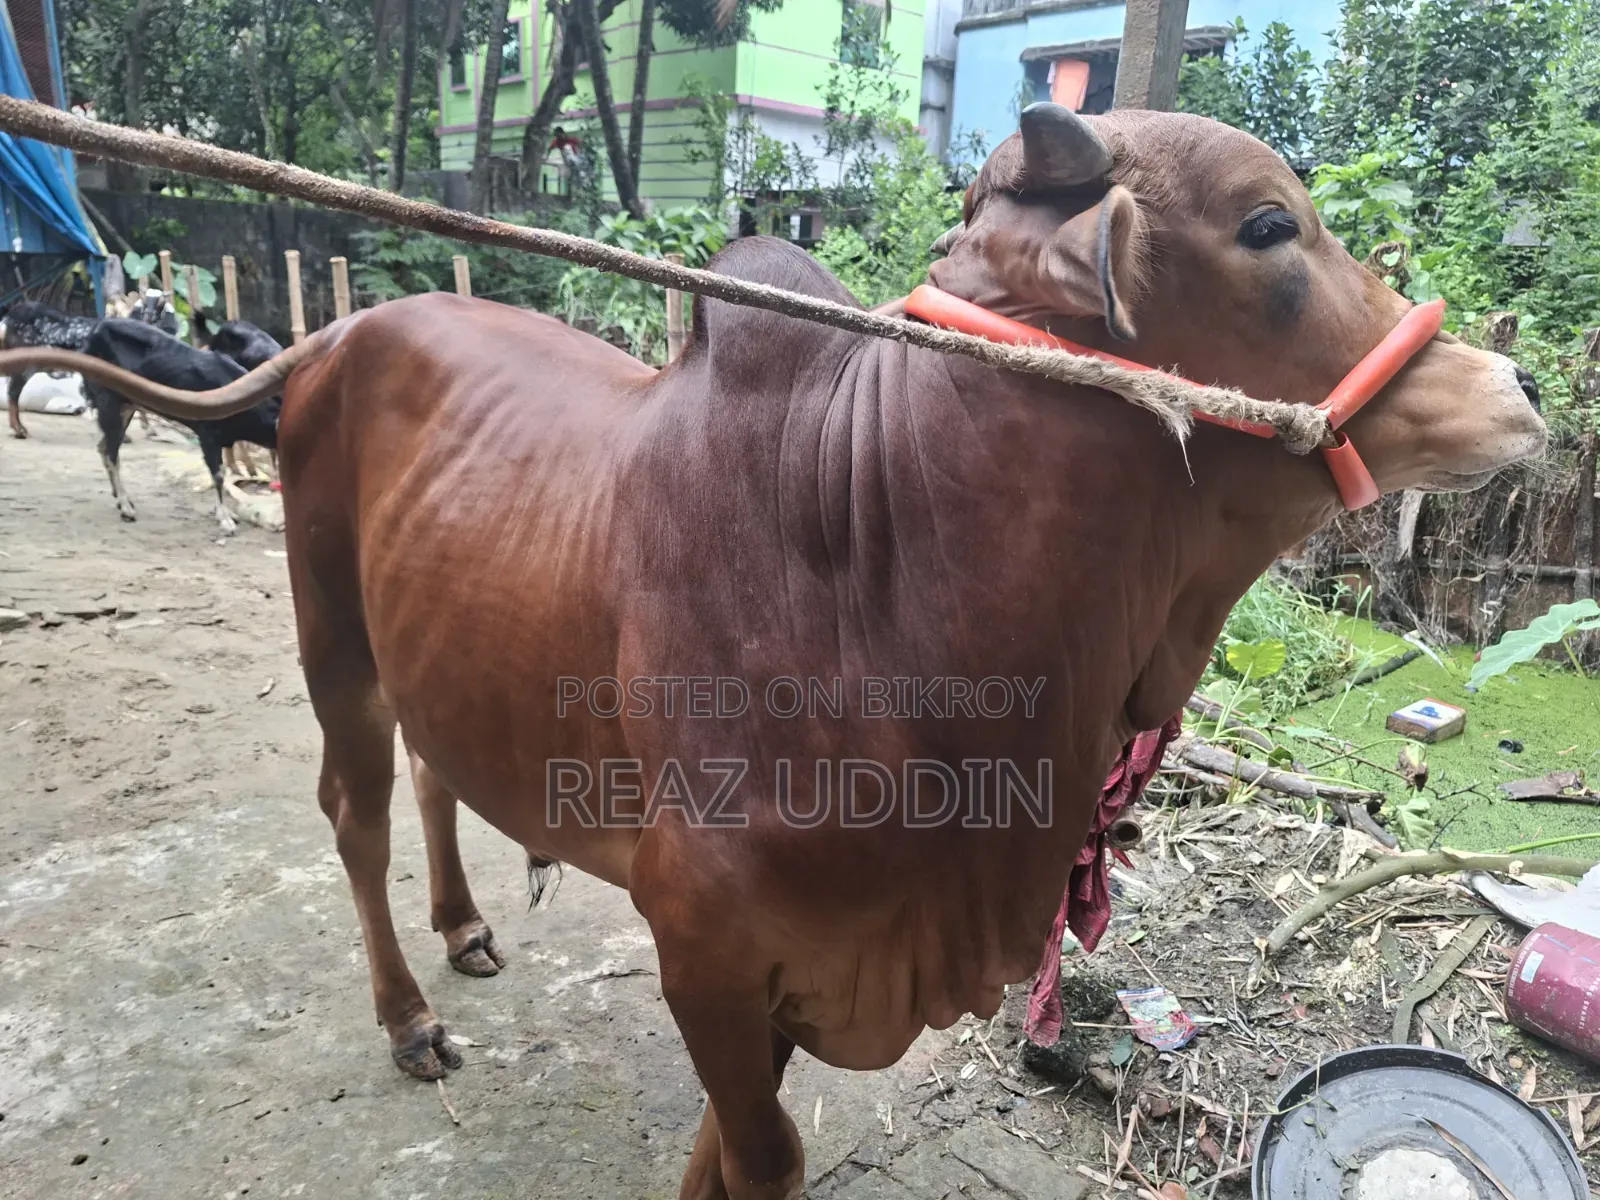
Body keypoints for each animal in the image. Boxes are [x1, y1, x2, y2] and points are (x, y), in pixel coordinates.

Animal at [0, 107, 1546, 1200]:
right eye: (1271, 224)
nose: (1518, 381)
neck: (878, 565)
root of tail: (345, 332)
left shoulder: (787, 975)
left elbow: (725, 1157)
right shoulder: (702, 942)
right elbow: (760, 1160)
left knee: (440, 775)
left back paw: (465, 924)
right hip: (331, 634)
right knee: (356, 812)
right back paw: (407, 1013)